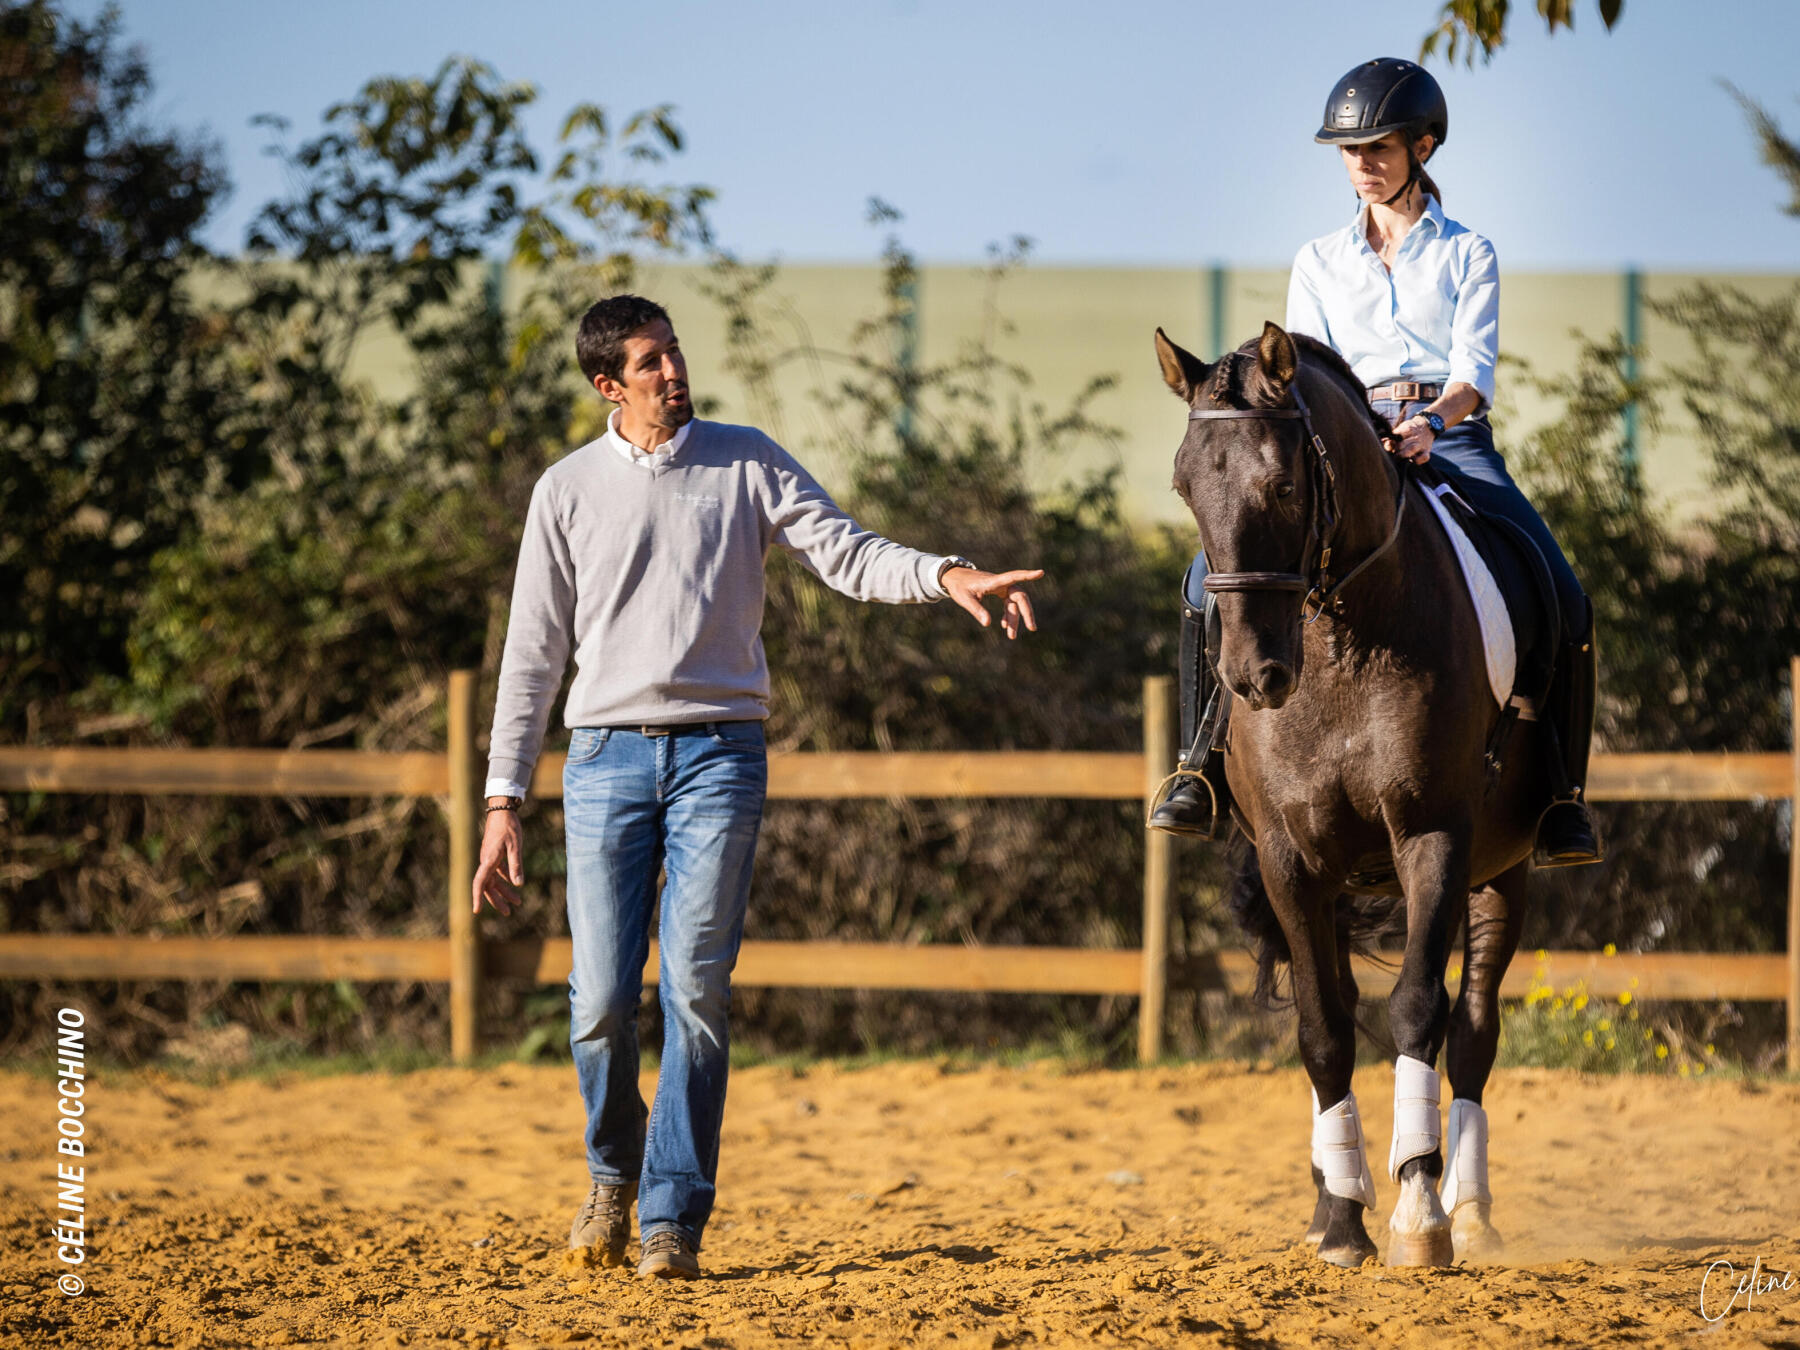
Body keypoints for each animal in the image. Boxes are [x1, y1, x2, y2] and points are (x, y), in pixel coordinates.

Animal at [1159, 320, 1540, 1267]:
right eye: (1185, 485)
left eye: (1284, 481)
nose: (1253, 677)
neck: (1342, 640)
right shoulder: (1292, 862)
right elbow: (1322, 1030)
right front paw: (1339, 1221)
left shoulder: (1433, 839)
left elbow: (1418, 1012)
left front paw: (1419, 1212)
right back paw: (1336, 1190)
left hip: (1505, 870)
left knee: (1474, 1031)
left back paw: (1470, 1211)